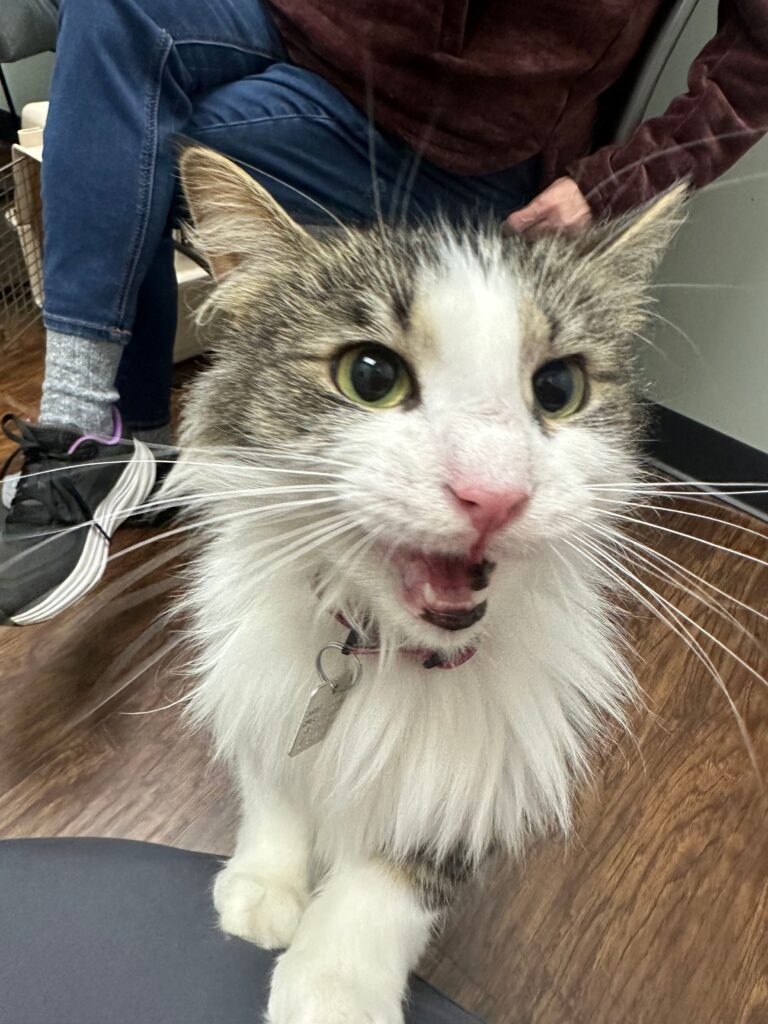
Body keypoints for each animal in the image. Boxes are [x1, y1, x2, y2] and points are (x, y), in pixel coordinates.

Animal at [168, 144, 686, 1024]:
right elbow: (275, 784)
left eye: (559, 389)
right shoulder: (263, 685)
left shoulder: (481, 775)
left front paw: (332, 986)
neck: (377, 655)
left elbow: (393, 876)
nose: (494, 495)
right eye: (369, 375)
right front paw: (266, 888)